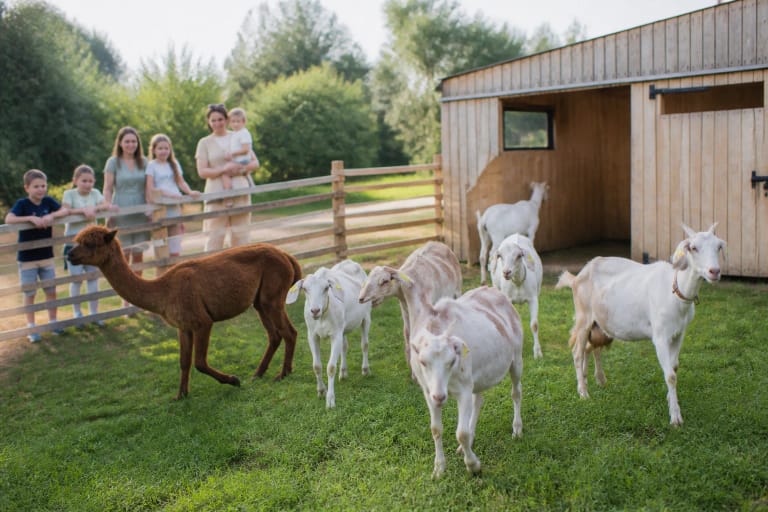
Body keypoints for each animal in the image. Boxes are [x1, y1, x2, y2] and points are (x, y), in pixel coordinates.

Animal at [286, 259, 372, 408]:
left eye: (326, 288)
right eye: (305, 289)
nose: (315, 310)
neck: (322, 317)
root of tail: (350, 261)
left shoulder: (335, 335)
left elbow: (331, 367)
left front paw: (330, 400)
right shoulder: (312, 335)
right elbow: (317, 366)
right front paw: (321, 391)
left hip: (366, 316)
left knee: (364, 344)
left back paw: (365, 370)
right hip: (343, 326)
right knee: (344, 347)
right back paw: (343, 373)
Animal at [357, 241, 462, 375]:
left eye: (385, 281)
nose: (361, 298)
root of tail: (436, 242)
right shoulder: (405, 309)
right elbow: (407, 334)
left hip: (457, 290)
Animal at [409, 286, 523, 478]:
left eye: (452, 361)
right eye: (423, 362)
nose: (440, 397)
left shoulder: (463, 389)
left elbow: (461, 433)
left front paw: (473, 465)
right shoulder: (428, 391)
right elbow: (435, 429)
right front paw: (439, 468)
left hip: (516, 357)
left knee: (516, 393)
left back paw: (517, 429)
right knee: (478, 400)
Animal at [555, 223, 725, 426]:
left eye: (719, 246)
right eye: (693, 247)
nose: (714, 272)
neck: (675, 290)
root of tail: (577, 277)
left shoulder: (679, 333)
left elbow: (674, 367)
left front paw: (670, 399)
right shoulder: (660, 336)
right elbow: (670, 375)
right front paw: (676, 418)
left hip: (599, 325)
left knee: (590, 348)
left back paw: (598, 380)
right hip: (583, 317)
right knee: (577, 353)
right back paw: (583, 392)